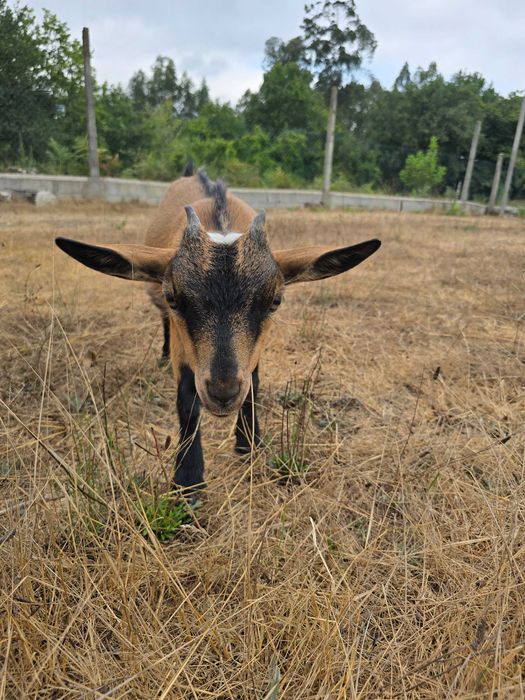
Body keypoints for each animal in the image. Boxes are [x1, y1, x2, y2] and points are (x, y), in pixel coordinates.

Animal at [55, 167, 380, 495]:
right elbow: (187, 397)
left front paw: (248, 443)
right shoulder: (184, 345)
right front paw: (188, 480)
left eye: (275, 301)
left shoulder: (253, 351)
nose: (223, 393)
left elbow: (253, 383)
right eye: (173, 297)